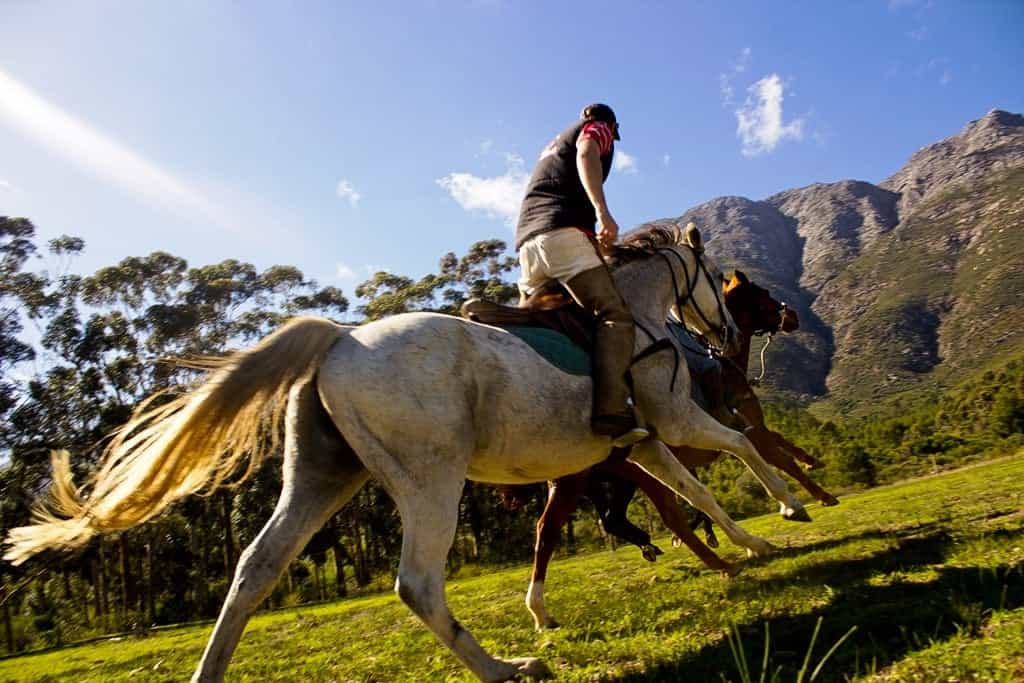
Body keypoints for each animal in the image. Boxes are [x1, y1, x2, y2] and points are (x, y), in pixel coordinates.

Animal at [520, 269, 838, 630]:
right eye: (764, 293)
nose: (793, 315)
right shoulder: (751, 429)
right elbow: (780, 458)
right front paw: (814, 498)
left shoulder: (741, 432)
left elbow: (782, 447)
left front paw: (810, 466)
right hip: (617, 478)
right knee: (652, 519)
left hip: (605, 479)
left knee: (576, 525)